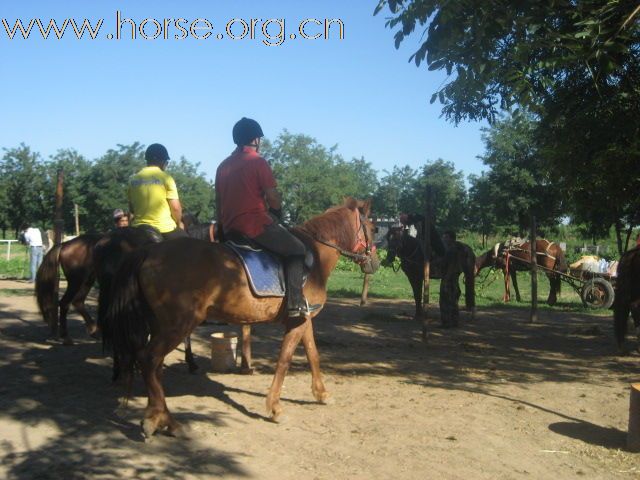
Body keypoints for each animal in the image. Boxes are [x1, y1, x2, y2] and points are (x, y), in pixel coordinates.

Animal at [102, 197, 378, 436]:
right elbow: (285, 360)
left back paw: (155, 416)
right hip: (177, 325)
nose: (374, 263)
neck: (315, 257)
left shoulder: (303, 318)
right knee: (149, 359)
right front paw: (274, 407)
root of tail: (150, 251)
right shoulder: (297, 320)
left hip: (160, 325)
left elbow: (313, 354)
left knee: (153, 365)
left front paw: (321, 394)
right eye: (374, 228)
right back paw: (167, 421)